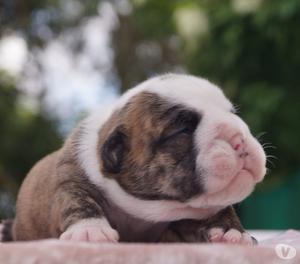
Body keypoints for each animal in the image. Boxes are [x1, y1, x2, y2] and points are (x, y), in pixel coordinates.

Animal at [1, 73, 266, 243]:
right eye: (183, 130)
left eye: (233, 114)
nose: (238, 136)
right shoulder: (70, 176)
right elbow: (77, 200)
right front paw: (90, 230)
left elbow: (221, 207)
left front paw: (231, 230)